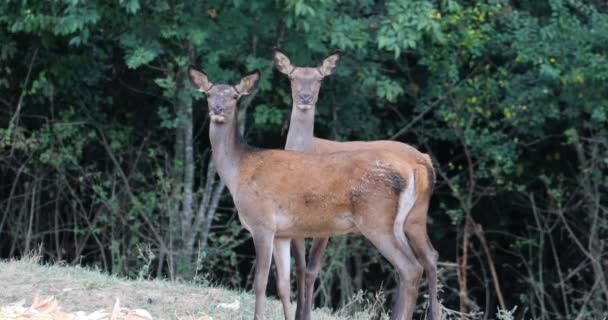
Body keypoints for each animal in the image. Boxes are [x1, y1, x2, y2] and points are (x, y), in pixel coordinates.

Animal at [190, 65, 428, 320]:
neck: (239, 171)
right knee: (417, 265)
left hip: (376, 219)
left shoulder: (262, 222)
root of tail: (411, 170)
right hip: (397, 223)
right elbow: (284, 284)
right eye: (209, 94)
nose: (217, 110)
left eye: (235, 96)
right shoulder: (282, 233)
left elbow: (260, 282)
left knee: (410, 267)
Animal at [274, 47, 440, 320]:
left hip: (404, 217)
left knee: (420, 260)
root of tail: (425, 162)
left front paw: (305, 314)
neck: (309, 150)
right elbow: (300, 267)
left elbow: (311, 269)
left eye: (320, 79)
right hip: (412, 216)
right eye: (292, 77)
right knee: (426, 257)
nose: (306, 97)